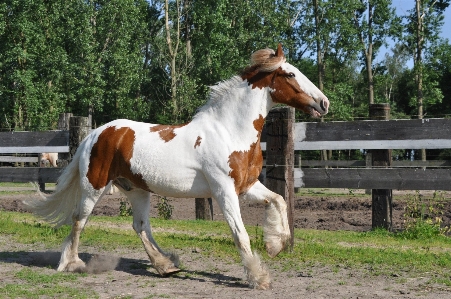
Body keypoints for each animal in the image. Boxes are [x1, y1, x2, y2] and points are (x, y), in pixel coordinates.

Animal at [23, 43, 328, 290]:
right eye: (290, 74)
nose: (323, 103)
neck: (229, 132)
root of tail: (96, 133)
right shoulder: (224, 191)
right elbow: (240, 234)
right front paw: (258, 277)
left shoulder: (247, 186)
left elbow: (278, 200)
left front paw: (275, 245)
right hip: (94, 186)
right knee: (79, 220)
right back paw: (71, 264)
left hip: (136, 189)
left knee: (140, 225)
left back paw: (166, 265)